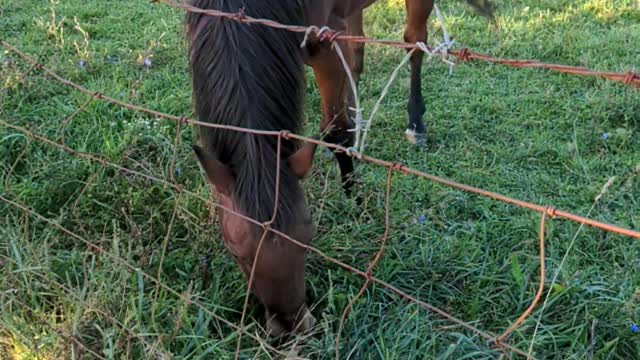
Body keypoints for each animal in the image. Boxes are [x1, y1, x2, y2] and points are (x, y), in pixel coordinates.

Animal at [185, 0, 496, 338]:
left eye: (308, 239)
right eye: (236, 252)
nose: (292, 326)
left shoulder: (322, 42)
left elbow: (334, 132)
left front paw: (354, 200)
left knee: (414, 42)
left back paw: (415, 124)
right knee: (358, 53)